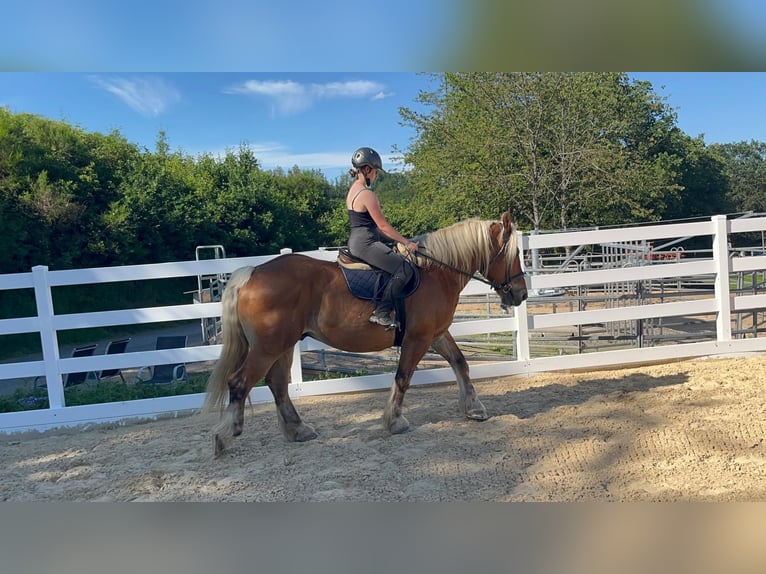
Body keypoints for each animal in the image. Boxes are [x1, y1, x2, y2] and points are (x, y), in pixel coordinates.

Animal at [204, 209, 528, 455]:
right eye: (513, 254)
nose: (521, 294)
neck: (436, 272)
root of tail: (253, 273)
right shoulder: (418, 338)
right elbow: (403, 377)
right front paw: (394, 421)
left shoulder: (435, 333)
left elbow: (460, 364)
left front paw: (474, 408)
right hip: (268, 347)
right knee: (240, 383)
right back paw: (225, 436)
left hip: (282, 345)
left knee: (277, 384)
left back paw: (298, 430)